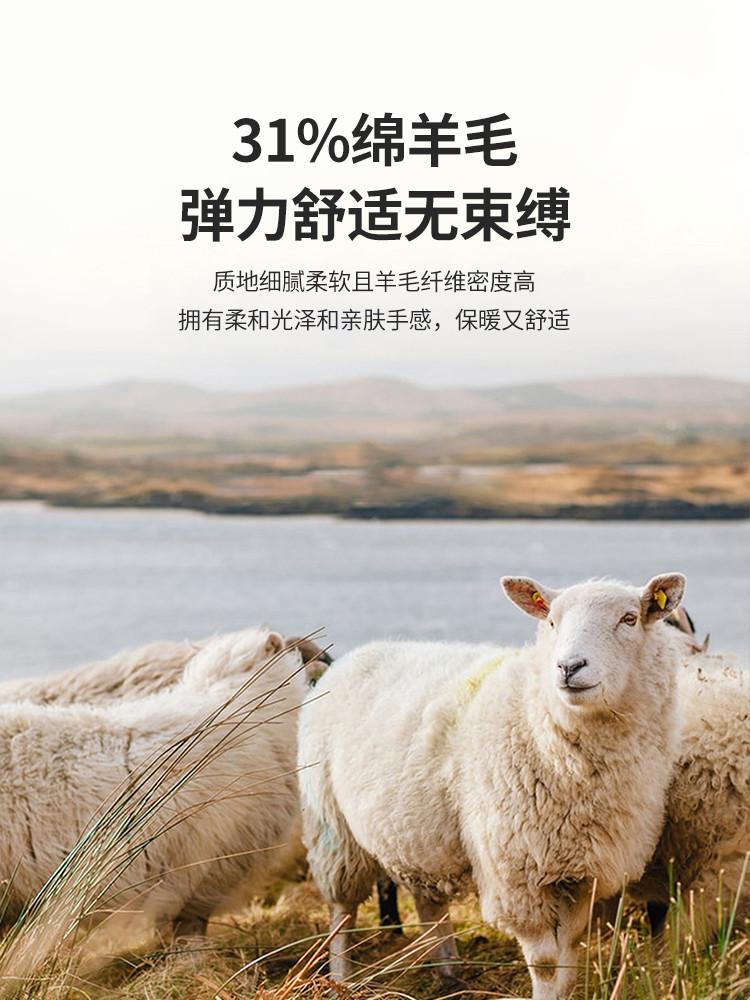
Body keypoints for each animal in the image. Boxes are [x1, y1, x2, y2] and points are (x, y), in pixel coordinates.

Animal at [298, 573, 686, 1000]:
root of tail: (352, 657)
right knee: (342, 910)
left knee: (428, 902)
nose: (569, 666)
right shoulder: (517, 875)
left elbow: (568, 952)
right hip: (333, 828)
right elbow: (546, 963)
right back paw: (341, 977)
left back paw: (448, 972)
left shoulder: (581, 873)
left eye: (629, 618)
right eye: (551, 621)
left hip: (416, 832)